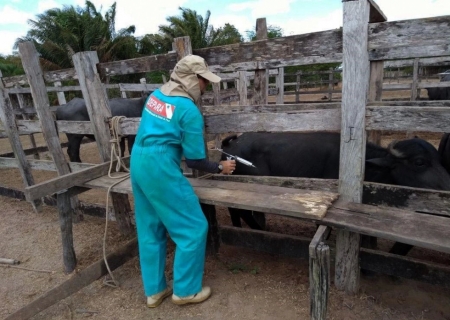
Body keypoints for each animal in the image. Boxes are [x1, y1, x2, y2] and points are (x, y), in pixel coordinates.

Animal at [222, 132, 450, 230]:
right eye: (419, 162)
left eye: (440, 160)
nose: (447, 185)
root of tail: (230, 146)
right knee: (242, 211)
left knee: (235, 211)